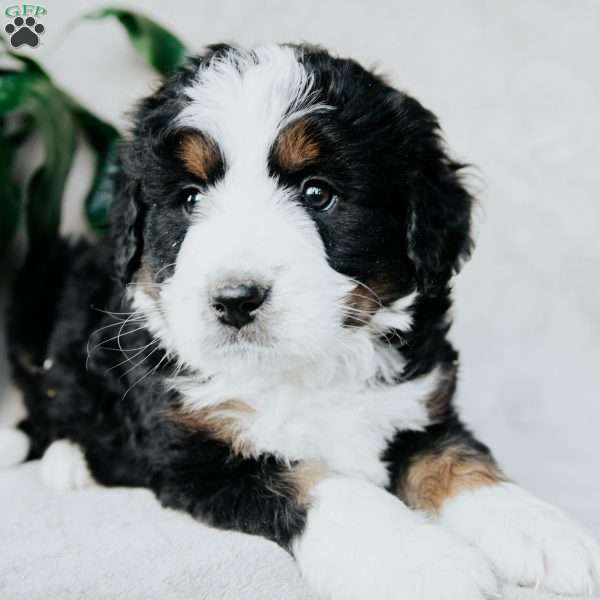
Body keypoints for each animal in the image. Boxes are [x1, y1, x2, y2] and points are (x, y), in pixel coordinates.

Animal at [2, 44, 596, 596]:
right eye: (189, 198)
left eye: (317, 192)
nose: (235, 299)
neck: (305, 370)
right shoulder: (196, 451)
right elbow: (321, 483)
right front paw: (424, 563)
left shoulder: (417, 407)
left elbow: (458, 459)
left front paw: (542, 531)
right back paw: (63, 461)